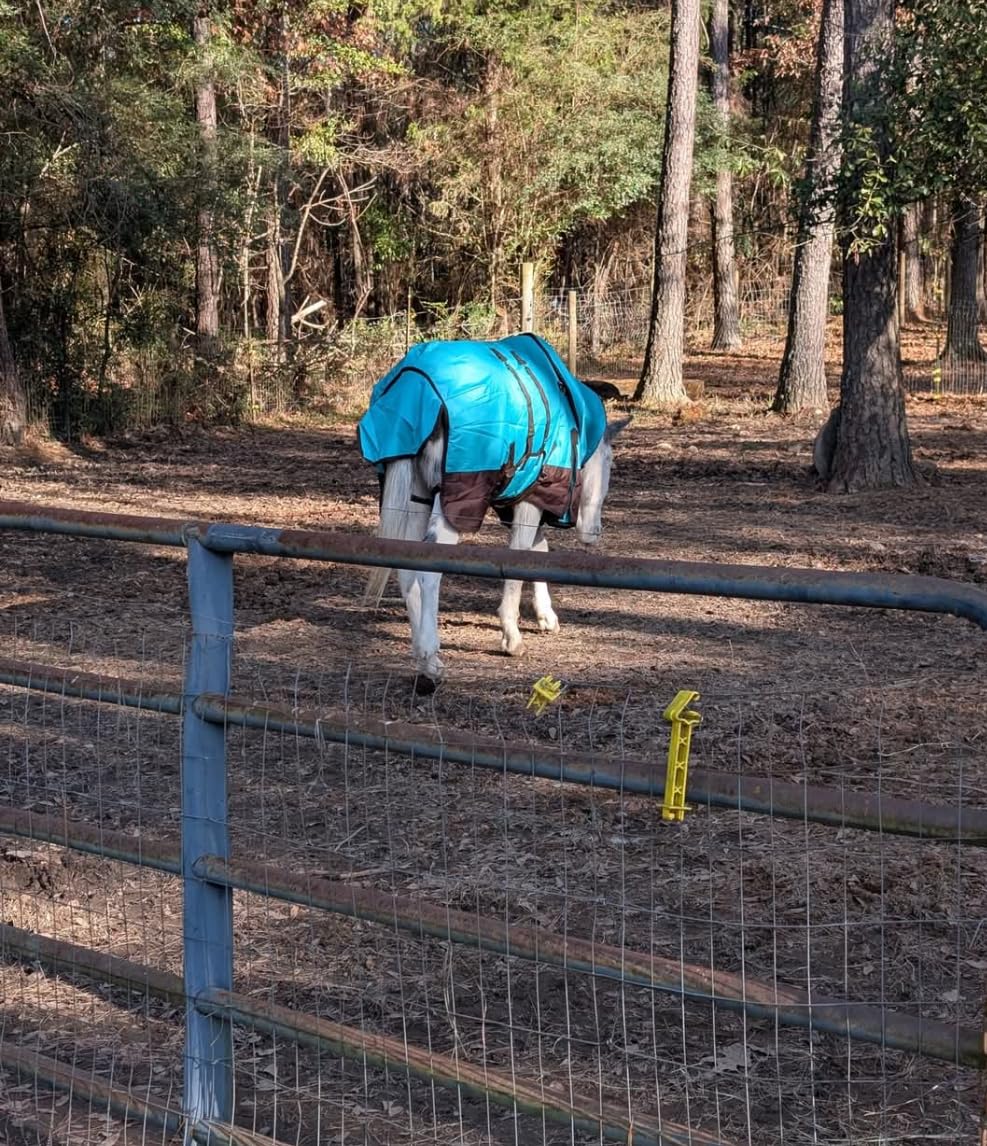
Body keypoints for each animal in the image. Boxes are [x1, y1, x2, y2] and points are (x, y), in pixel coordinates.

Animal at [358, 333, 629, 682]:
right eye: (609, 461)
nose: (594, 532)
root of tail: (412, 391)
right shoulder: (528, 502)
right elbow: (519, 560)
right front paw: (511, 637)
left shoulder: (526, 499)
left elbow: (538, 553)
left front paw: (546, 617)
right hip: (453, 506)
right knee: (428, 573)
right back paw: (431, 659)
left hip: (416, 500)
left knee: (405, 566)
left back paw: (422, 654)